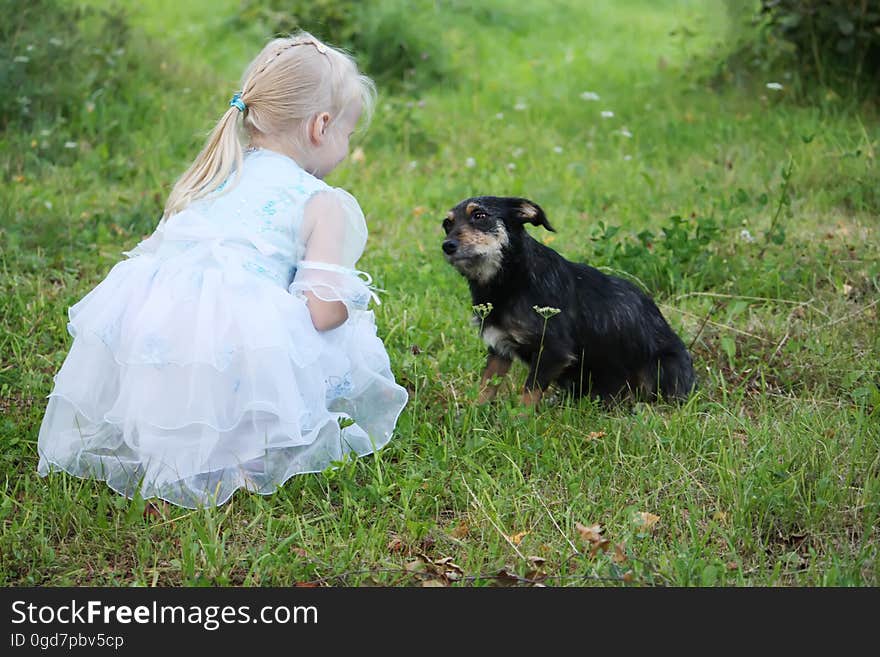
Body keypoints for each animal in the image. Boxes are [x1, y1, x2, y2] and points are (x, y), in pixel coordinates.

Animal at [444, 195, 696, 404]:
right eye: (446, 224)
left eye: (480, 215)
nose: (447, 246)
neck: (512, 280)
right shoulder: (499, 349)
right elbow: (485, 388)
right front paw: (474, 418)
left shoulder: (554, 350)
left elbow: (529, 393)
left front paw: (520, 424)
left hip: (661, 366)